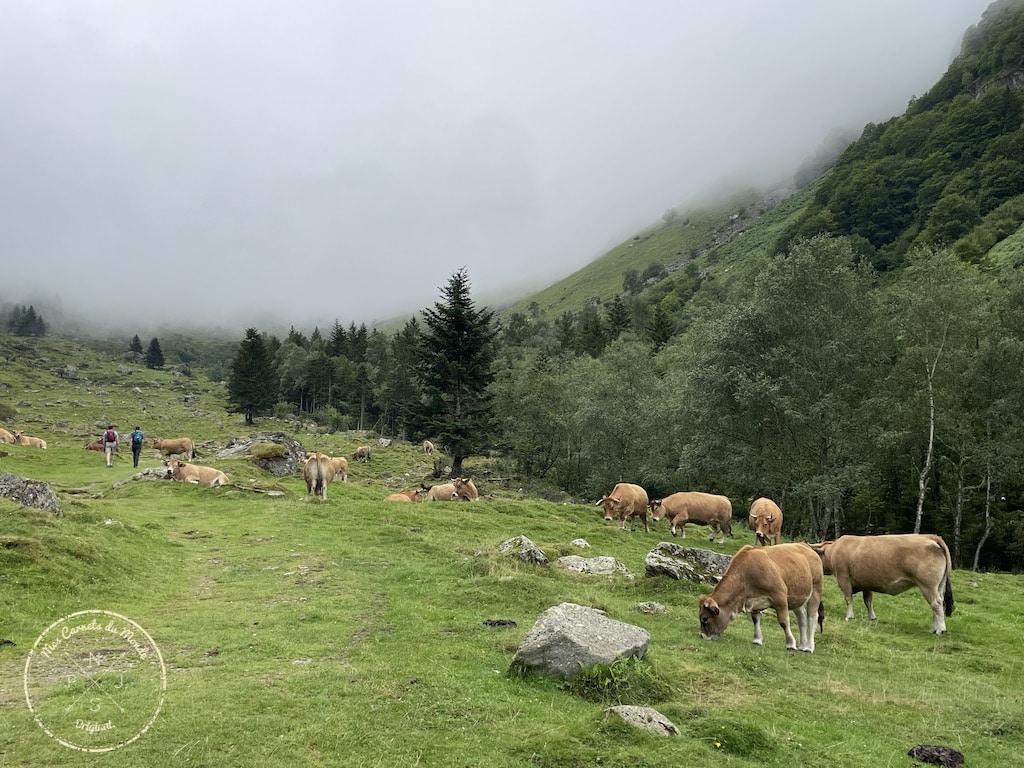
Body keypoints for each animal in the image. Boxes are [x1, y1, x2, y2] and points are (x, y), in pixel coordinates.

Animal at [811, 536, 954, 638]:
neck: (834, 550)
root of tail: (931, 537)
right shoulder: (866, 583)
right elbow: (868, 601)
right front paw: (872, 617)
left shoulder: (843, 579)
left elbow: (848, 599)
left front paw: (849, 616)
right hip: (938, 587)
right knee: (938, 604)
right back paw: (933, 628)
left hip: (927, 586)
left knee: (936, 604)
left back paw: (940, 629)